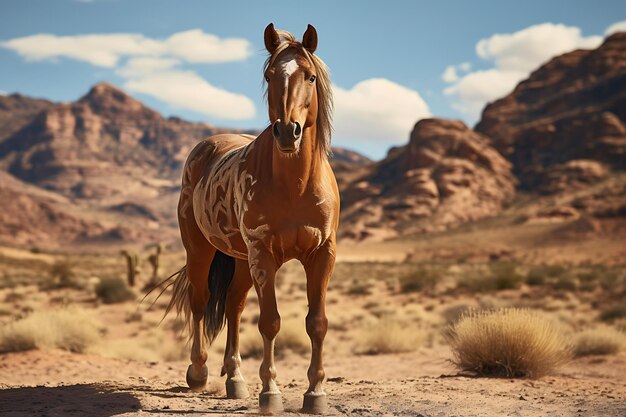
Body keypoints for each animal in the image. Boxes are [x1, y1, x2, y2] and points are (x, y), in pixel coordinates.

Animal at [161, 23, 336, 412]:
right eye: (270, 75)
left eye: (310, 76)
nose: (287, 131)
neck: (295, 185)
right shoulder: (264, 254)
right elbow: (270, 322)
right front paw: (270, 392)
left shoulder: (322, 255)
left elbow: (316, 323)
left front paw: (315, 393)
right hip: (202, 250)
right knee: (200, 301)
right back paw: (199, 372)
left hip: (241, 259)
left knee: (233, 306)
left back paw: (235, 378)